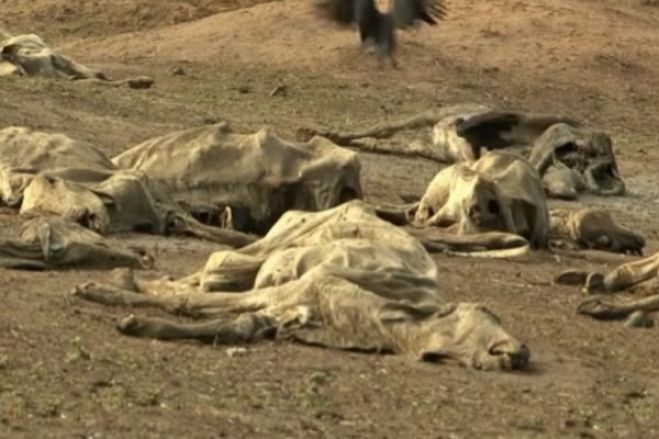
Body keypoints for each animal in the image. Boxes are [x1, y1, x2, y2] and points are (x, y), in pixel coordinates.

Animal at [75, 202, 532, 372]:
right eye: (488, 314)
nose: (519, 352)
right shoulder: (300, 289)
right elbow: (194, 298)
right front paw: (106, 290)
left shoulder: (284, 313)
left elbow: (232, 322)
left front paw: (138, 320)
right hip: (295, 233)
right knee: (217, 265)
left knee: (211, 273)